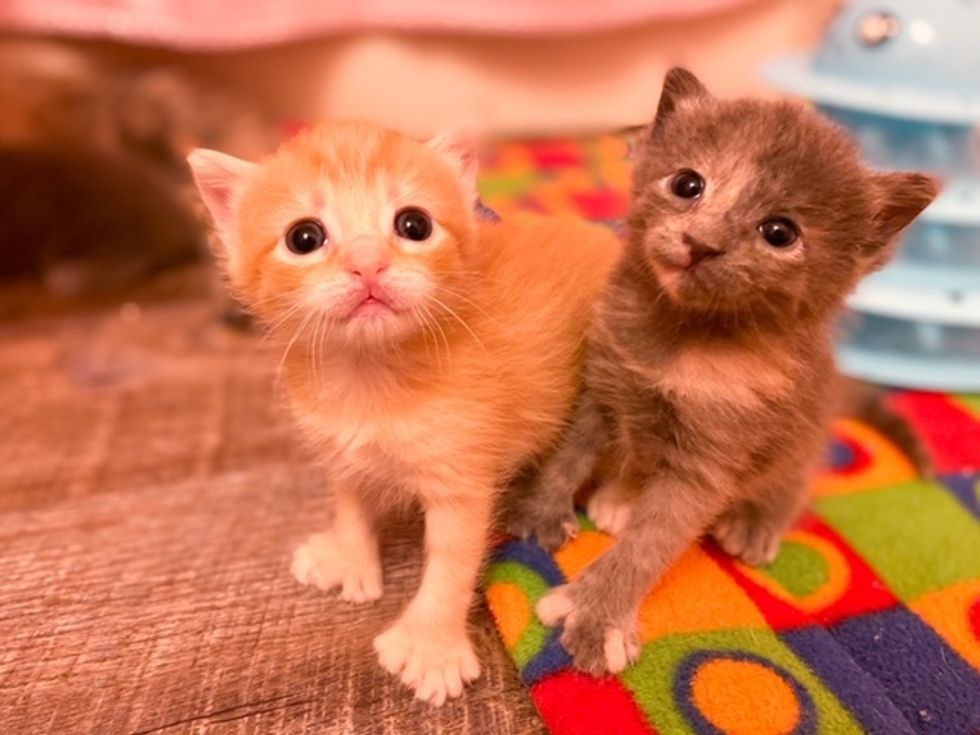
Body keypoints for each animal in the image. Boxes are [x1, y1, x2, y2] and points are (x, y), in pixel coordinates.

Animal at [189, 122, 620, 708]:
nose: (369, 263)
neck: (371, 379)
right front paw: (347, 556)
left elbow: (452, 561)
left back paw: (621, 498)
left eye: (414, 225)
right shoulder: (337, 444)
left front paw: (430, 648)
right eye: (304, 237)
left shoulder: (462, 474)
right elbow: (349, 497)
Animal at [510, 70, 936, 680]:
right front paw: (540, 510)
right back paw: (620, 496)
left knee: (793, 480)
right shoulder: (601, 384)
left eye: (780, 232)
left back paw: (755, 522)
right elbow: (568, 454)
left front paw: (599, 616)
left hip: (801, 440)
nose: (701, 243)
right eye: (688, 184)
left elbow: (652, 542)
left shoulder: (709, 461)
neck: (677, 336)